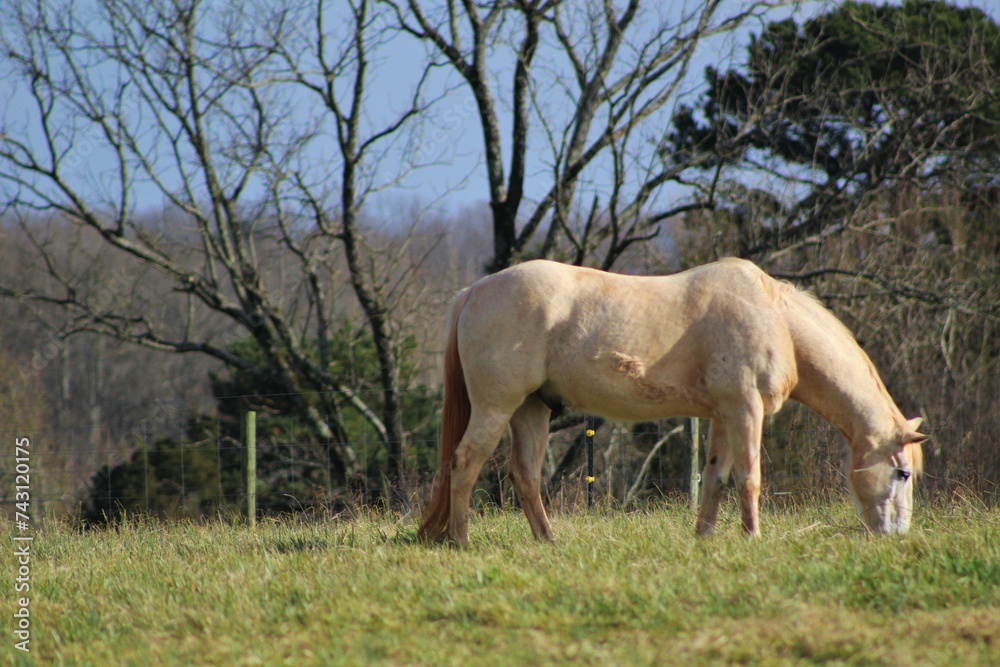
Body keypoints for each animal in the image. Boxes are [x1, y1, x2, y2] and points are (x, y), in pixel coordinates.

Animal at [416, 258, 928, 548]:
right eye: (902, 473)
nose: (897, 535)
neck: (774, 318)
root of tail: (474, 292)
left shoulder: (724, 415)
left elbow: (716, 478)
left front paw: (705, 538)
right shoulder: (746, 410)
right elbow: (749, 478)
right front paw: (753, 539)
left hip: (531, 410)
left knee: (524, 475)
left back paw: (548, 542)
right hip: (496, 407)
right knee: (464, 464)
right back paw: (460, 541)